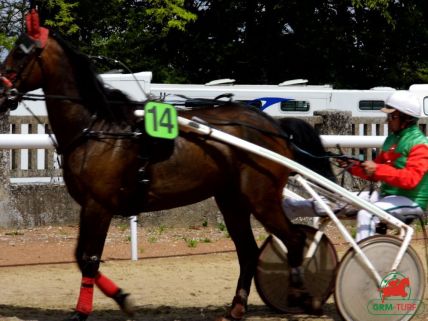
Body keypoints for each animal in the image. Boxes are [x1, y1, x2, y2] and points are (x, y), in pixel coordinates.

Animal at [0, 10, 328, 320]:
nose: (2, 94)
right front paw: (118, 299)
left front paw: (93, 308)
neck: (98, 127)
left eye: (19, 52)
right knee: (248, 250)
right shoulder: (90, 206)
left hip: (261, 199)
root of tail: (276, 127)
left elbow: (88, 259)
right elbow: (82, 257)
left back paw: (302, 296)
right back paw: (236, 308)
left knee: (294, 239)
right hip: (232, 200)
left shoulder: (98, 205)